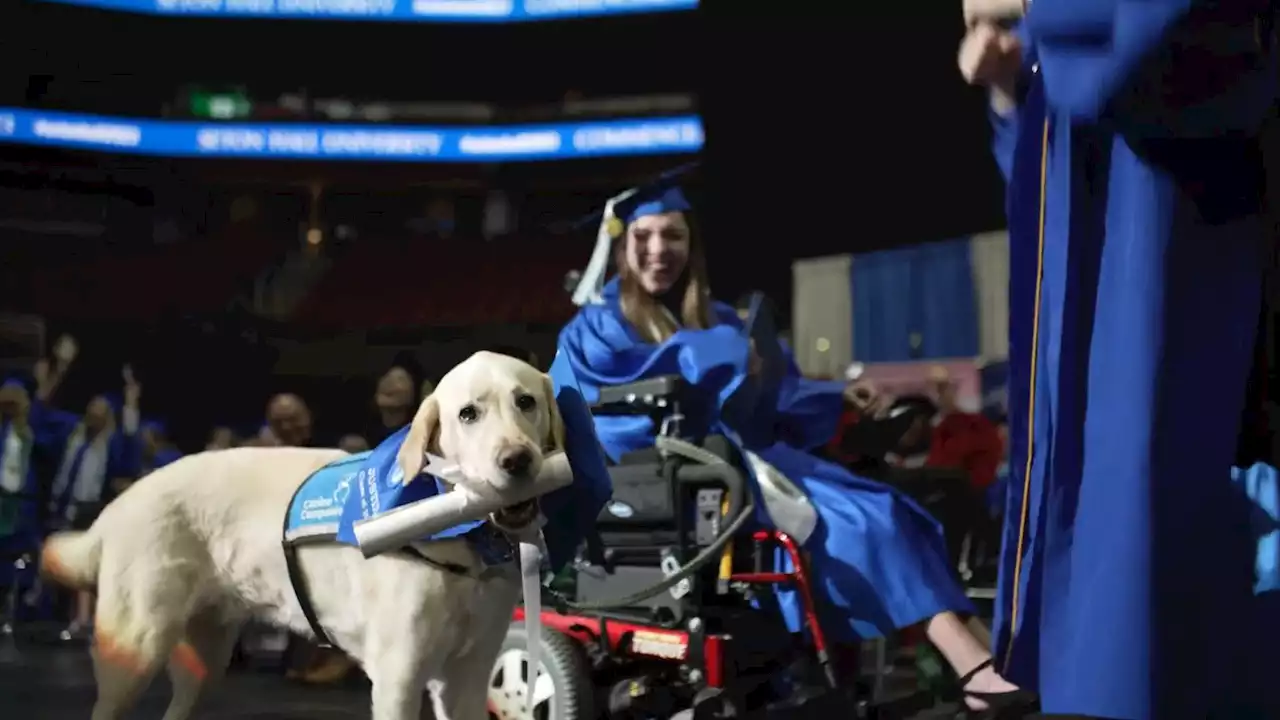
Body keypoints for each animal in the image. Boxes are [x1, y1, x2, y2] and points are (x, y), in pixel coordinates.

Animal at [42, 351, 563, 717]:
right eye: (468, 414)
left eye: (526, 402)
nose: (517, 460)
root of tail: (120, 503)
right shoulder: (398, 677)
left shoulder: (467, 681)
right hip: (134, 650)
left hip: (204, 661)